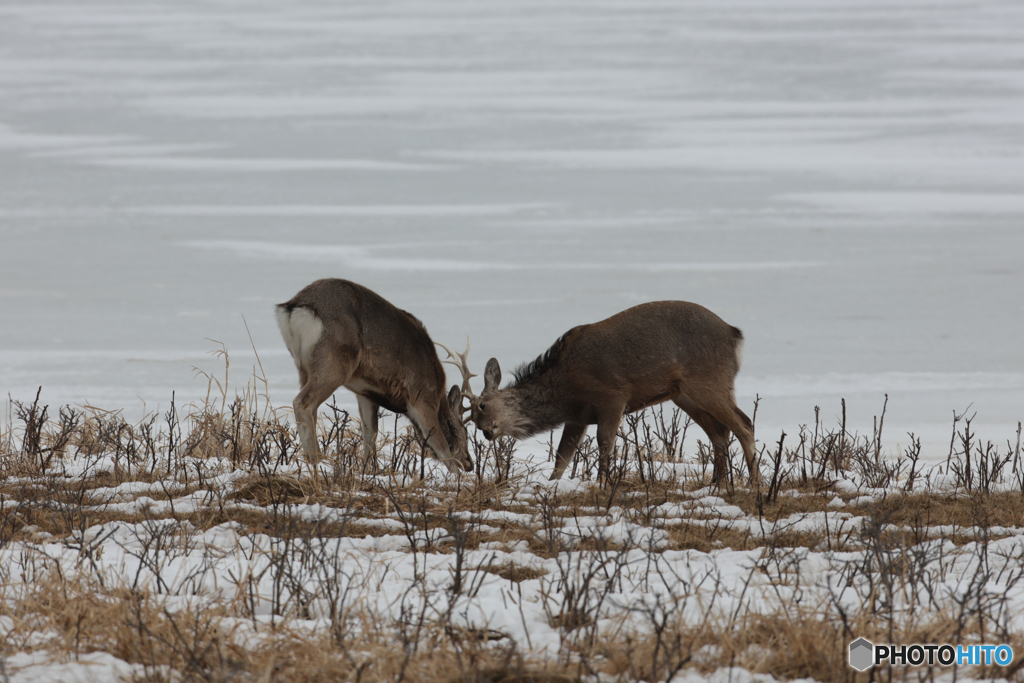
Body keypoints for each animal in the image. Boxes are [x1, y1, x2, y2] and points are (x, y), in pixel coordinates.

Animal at [278, 280, 473, 473]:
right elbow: (441, 447)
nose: (469, 463)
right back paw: (319, 461)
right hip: (334, 364)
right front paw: (456, 477)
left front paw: (367, 470)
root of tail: (295, 306)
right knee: (302, 402)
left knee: (311, 408)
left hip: (303, 368)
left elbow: (370, 433)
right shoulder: (422, 396)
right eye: (464, 431)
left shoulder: (366, 393)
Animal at [446, 301, 761, 485]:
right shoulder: (578, 416)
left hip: (709, 380)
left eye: (482, 406)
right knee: (719, 432)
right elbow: (562, 456)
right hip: (684, 394)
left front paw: (603, 483)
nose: (488, 432)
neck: (565, 389)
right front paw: (553, 484)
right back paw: (718, 483)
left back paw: (755, 483)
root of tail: (735, 335)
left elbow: (604, 444)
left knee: (744, 424)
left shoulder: (612, 396)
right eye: (472, 421)